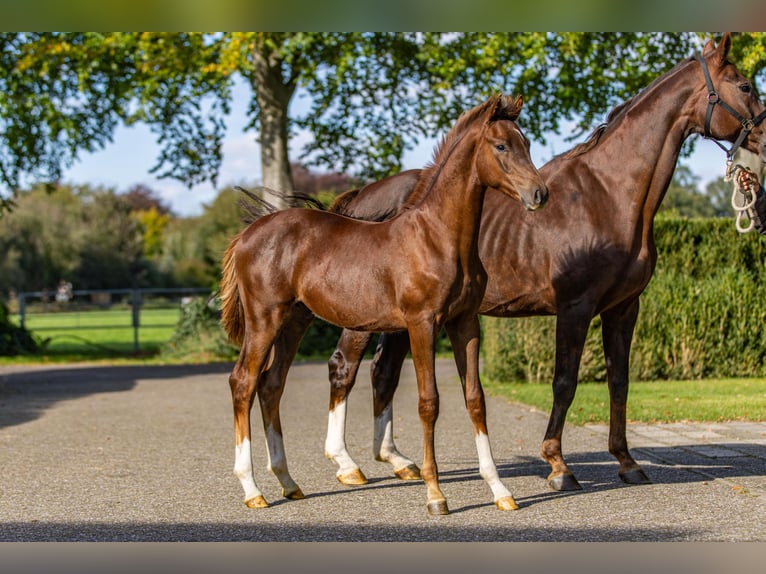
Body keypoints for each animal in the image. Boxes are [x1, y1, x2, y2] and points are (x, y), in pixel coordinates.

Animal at [219, 94, 548, 516]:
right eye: (502, 146)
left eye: (527, 143)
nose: (539, 194)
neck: (438, 236)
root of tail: (247, 234)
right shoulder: (422, 323)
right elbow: (429, 402)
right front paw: (435, 495)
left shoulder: (464, 323)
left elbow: (475, 399)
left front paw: (500, 490)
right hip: (264, 319)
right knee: (243, 382)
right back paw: (252, 489)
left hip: (294, 321)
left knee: (271, 384)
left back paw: (288, 482)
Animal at [322, 32, 766, 490]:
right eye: (745, 85)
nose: (765, 140)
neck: (607, 194)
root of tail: (359, 199)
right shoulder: (575, 308)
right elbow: (564, 382)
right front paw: (558, 465)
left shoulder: (624, 309)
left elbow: (619, 381)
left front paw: (626, 461)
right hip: (366, 317)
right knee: (344, 367)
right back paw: (347, 464)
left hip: (404, 321)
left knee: (383, 373)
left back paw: (397, 460)